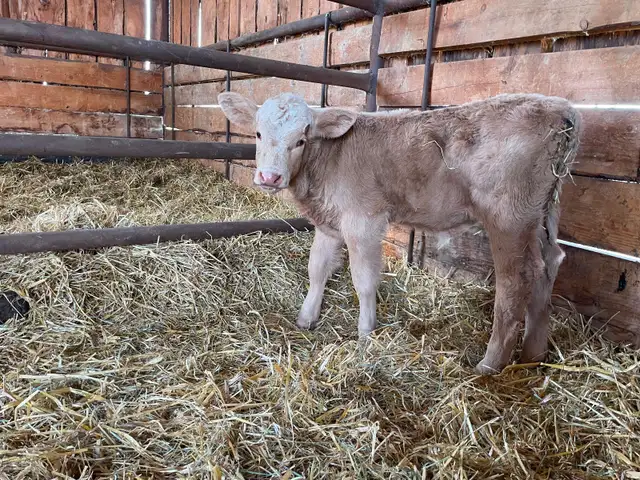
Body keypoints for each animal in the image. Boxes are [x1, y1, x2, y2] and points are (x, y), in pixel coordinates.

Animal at [217, 91, 582, 375]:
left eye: (301, 139)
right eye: (258, 134)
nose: (270, 177)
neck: (328, 161)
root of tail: (560, 108)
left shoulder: (363, 220)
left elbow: (364, 280)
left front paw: (366, 333)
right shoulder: (329, 224)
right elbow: (317, 269)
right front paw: (306, 319)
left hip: (508, 217)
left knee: (516, 279)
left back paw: (490, 364)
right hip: (543, 214)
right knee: (549, 265)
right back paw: (534, 354)